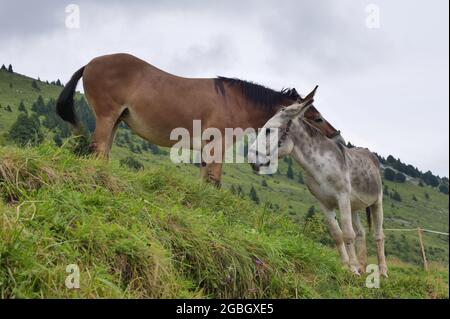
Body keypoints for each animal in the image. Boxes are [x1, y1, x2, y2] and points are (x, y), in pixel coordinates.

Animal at [57, 53, 344, 185]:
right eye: (317, 118)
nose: (337, 134)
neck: (236, 101)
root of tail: (90, 63)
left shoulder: (209, 147)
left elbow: (205, 177)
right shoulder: (219, 144)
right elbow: (214, 179)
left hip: (116, 120)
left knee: (102, 152)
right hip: (107, 117)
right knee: (97, 149)